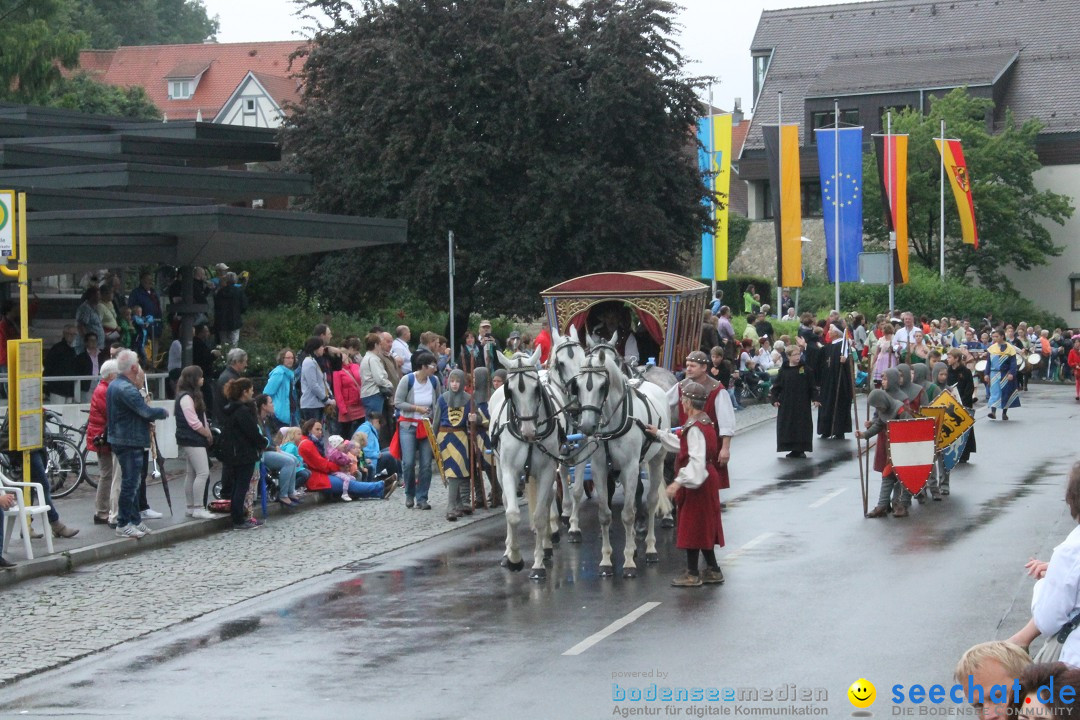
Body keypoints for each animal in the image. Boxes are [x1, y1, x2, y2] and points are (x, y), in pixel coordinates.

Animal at [486, 347, 561, 578]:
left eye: (536, 389)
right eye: (510, 391)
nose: (528, 432)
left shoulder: (547, 471)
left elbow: (539, 516)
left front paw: (538, 564)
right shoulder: (509, 471)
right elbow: (512, 514)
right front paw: (515, 558)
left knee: (548, 500)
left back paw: (546, 545)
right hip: (500, 470)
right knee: (505, 500)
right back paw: (507, 552)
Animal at [578, 341, 669, 578]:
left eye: (602, 386)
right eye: (577, 386)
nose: (587, 425)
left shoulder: (630, 468)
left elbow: (628, 515)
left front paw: (628, 562)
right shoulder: (600, 468)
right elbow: (604, 514)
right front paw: (606, 561)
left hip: (656, 459)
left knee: (652, 500)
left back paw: (650, 548)